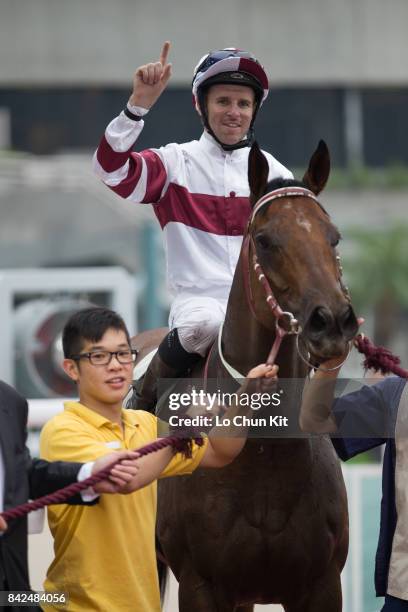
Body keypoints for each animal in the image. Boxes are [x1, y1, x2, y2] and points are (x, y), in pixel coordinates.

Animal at [131, 140, 356, 612]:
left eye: (334, 236)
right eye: (265, 240)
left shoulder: (321, 585)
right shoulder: (201, 585)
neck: (263, 457)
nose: (331, 322)